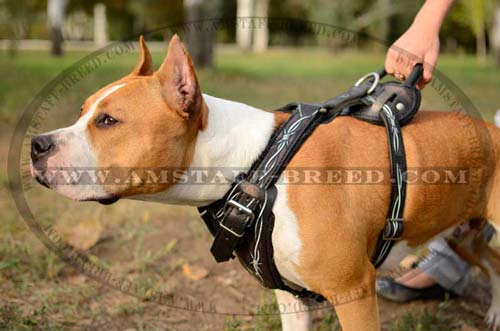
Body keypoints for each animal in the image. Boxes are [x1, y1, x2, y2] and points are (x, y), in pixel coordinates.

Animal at [31, 35, 500, 330]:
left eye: (109, 121)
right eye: (82, 111)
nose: (36, 145)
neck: (255, 165)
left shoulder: (354, 291)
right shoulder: (290, 296)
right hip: (462, 233)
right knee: (492, 261)